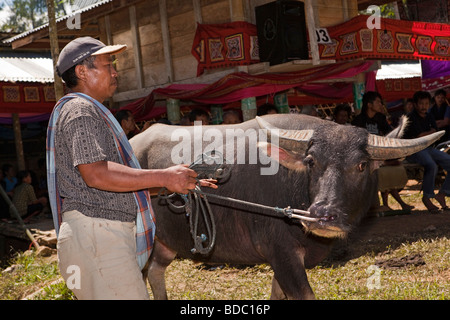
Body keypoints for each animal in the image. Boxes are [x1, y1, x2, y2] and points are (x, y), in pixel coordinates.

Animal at [130, 114, 442, 298]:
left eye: (362, 165)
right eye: (312, 161)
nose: (322, 216)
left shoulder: (284, 260)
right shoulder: (282, 253)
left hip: (164, 243)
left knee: (155, 271)